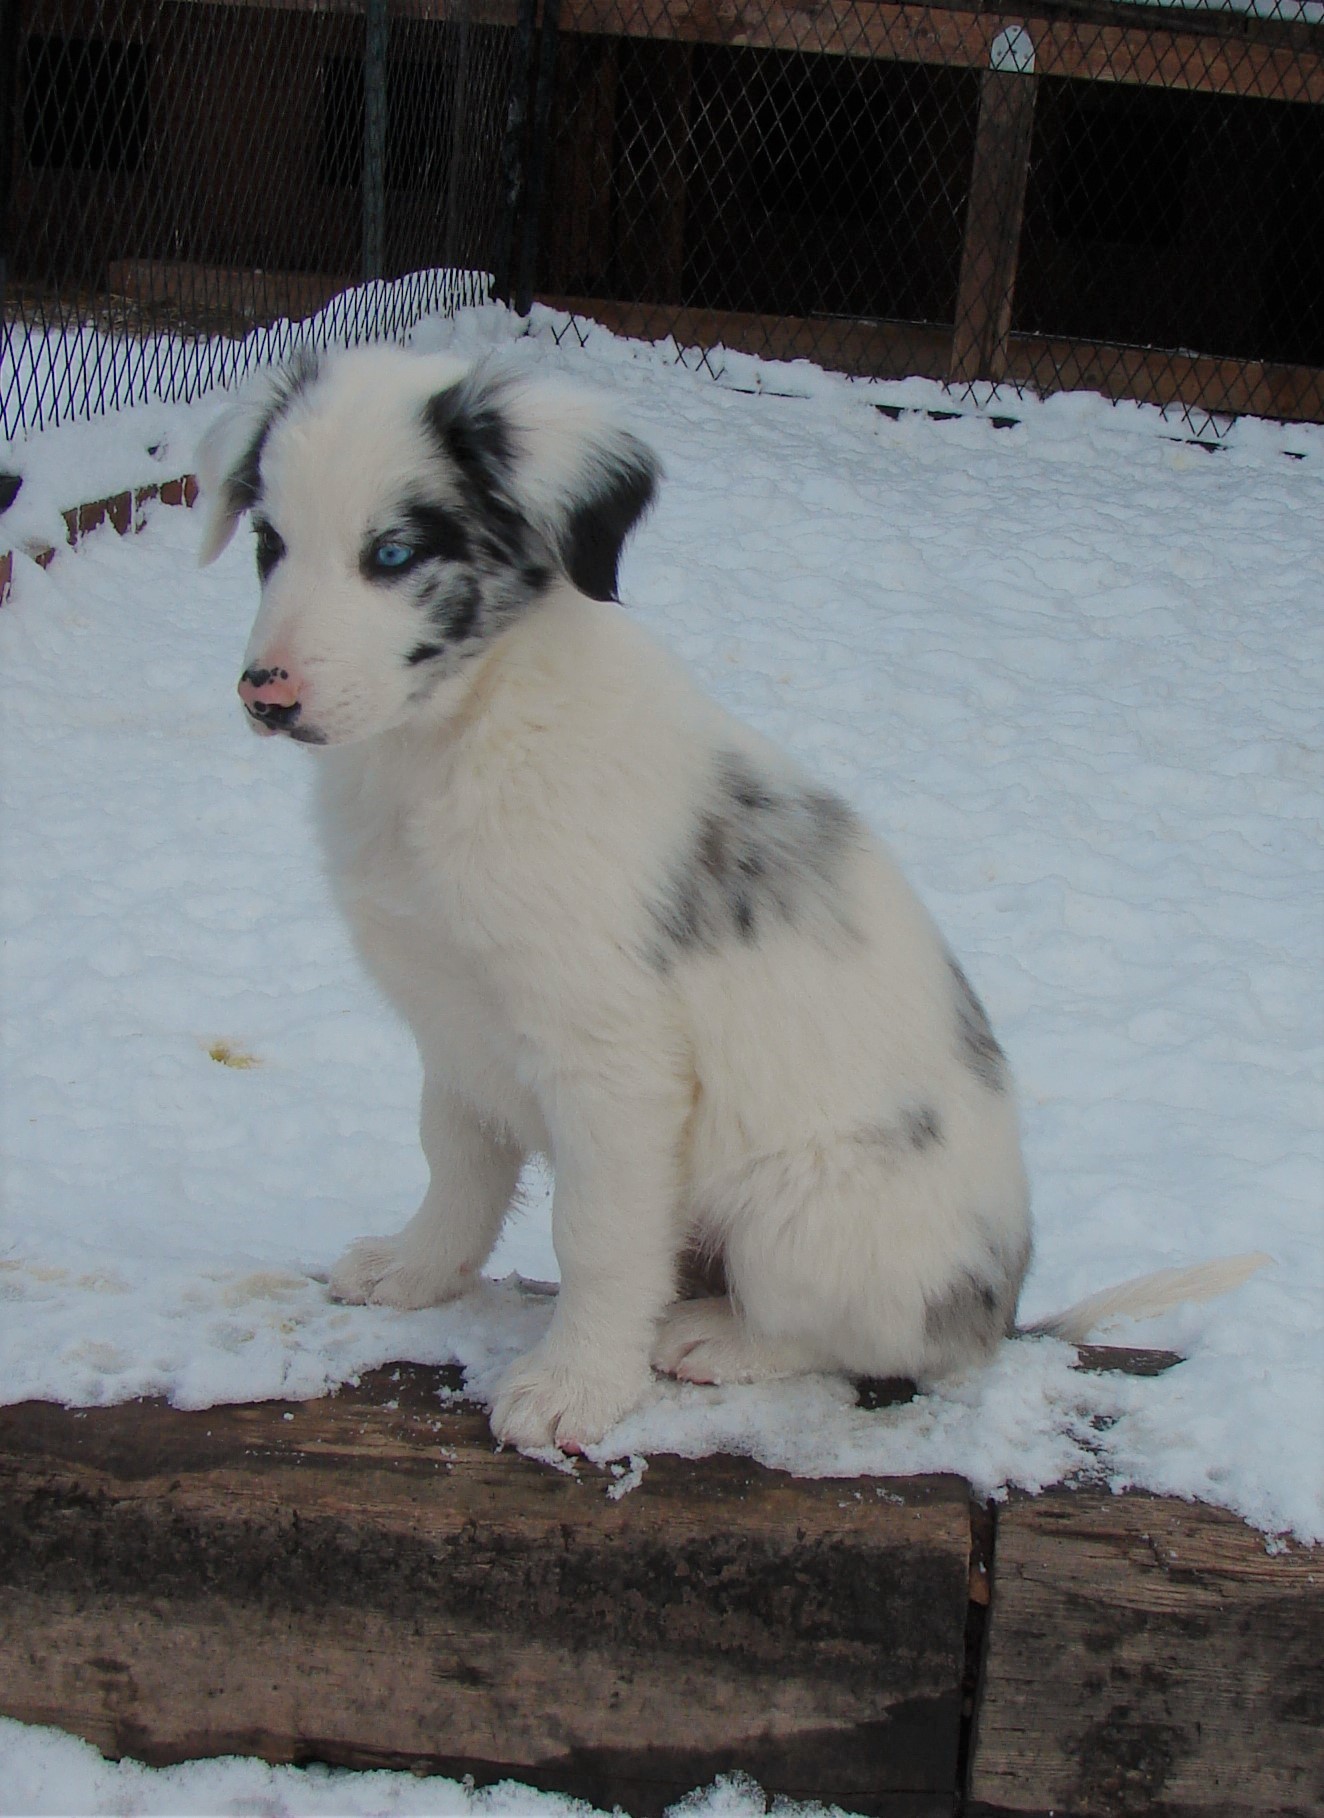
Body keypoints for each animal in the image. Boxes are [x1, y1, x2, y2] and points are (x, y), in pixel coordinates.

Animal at [196, 341, 1258, 1447]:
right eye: (269, 542)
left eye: (394, 555)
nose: (265, 694)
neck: (457, 739)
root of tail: (998, 1312)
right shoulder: (454, 1035)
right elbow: (457, 1169)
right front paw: (416, 1271)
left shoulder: (612, 1065)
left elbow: (596, 1240)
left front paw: (575, 1385)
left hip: (802, 1212)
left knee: (861, 1341)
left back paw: (717, 1338)